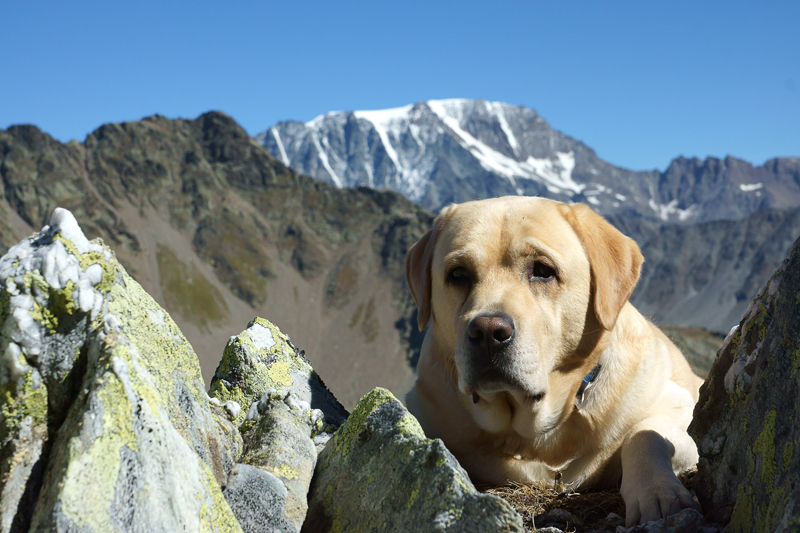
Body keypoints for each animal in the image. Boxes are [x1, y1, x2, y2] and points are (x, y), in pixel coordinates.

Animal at [406, 197, 700, 524]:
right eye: (458, 274)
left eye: (543, 270)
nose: (487, 332)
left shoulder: (681, 408)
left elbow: (642, 434)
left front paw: (657, 492)